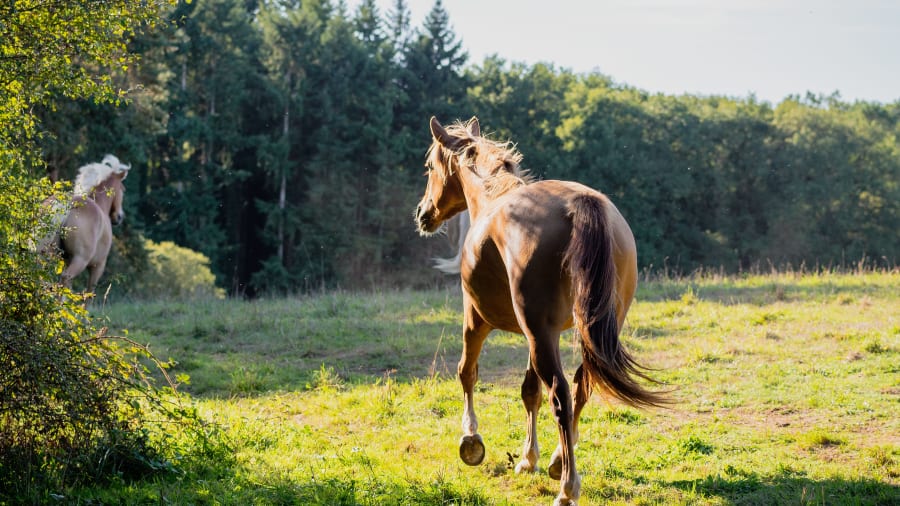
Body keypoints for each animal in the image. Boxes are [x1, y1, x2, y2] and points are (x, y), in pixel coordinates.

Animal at [45, 154, 131, 293]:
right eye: (123, 189)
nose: (119, 217)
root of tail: (67, 206)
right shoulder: (98, 266)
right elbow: (89, 292)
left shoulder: (67, 260)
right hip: (80, 260)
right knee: (65, 278)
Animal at [414, 117, 666, 506]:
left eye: (429, 167)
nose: (423, 213)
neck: (493, 198)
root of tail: (580, 204)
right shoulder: (538, 334)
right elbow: (529, 390)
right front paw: (528, 458)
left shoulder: (477, 319)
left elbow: (467, 372)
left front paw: (471, 440)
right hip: (575, 334)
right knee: (581, 385)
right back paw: (559, 461)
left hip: (535, 333)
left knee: (560, 395)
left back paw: (567, 488)